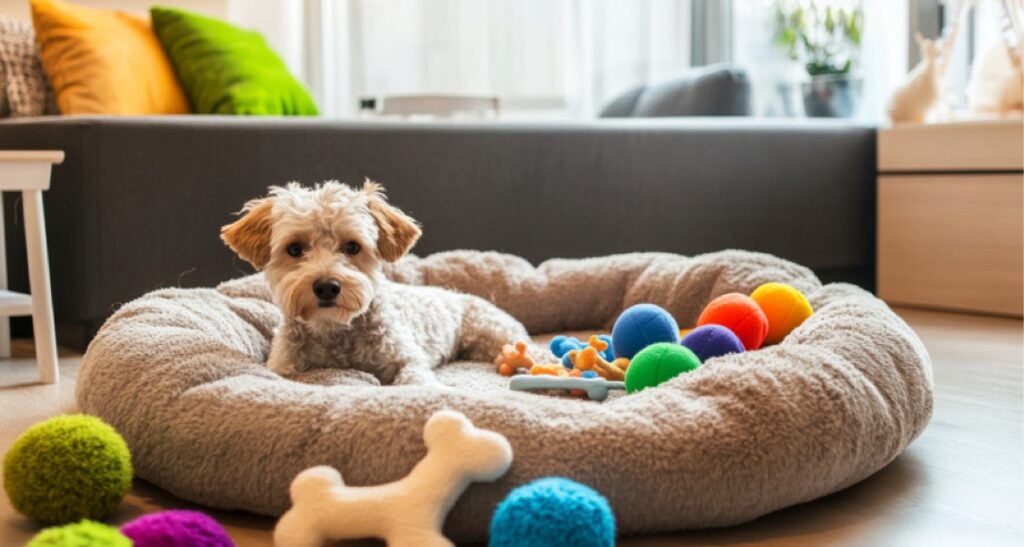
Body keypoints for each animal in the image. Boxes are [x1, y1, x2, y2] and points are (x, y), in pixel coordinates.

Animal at [221, 181, 532, 385]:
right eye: (295, 248)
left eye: (352, 246)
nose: (327, 286)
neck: (335, 330)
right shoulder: (284, 367)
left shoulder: (407, 358)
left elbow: (414, 378)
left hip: (496, 333)